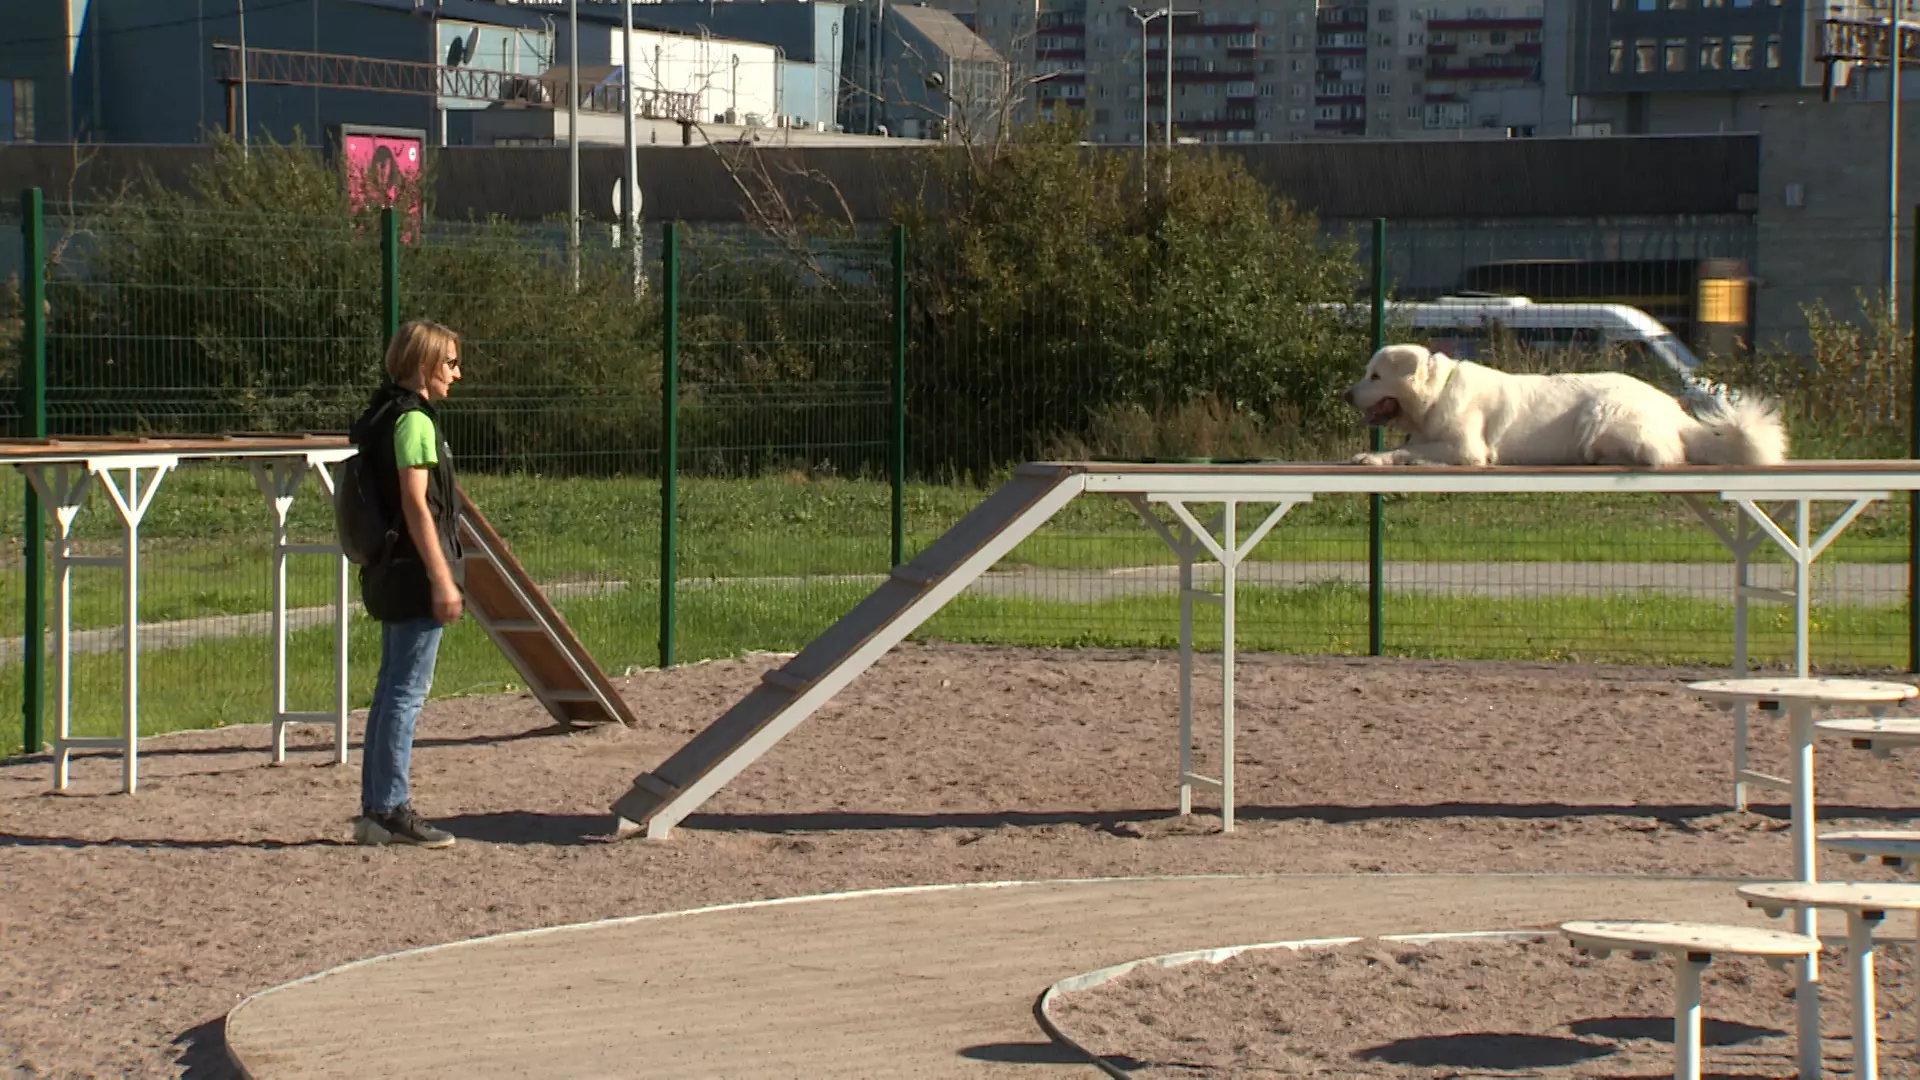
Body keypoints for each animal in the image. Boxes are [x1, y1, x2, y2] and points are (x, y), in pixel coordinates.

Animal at [1351, 342, 1781, 465]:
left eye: (1375, 377)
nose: (1346, 394)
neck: (1438, 392)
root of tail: (1673, 410)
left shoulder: (1467, 448)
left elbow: (1412, 450)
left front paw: (1377, 457)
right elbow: (1413, 446)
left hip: (1601, 413)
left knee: (1665, 455)